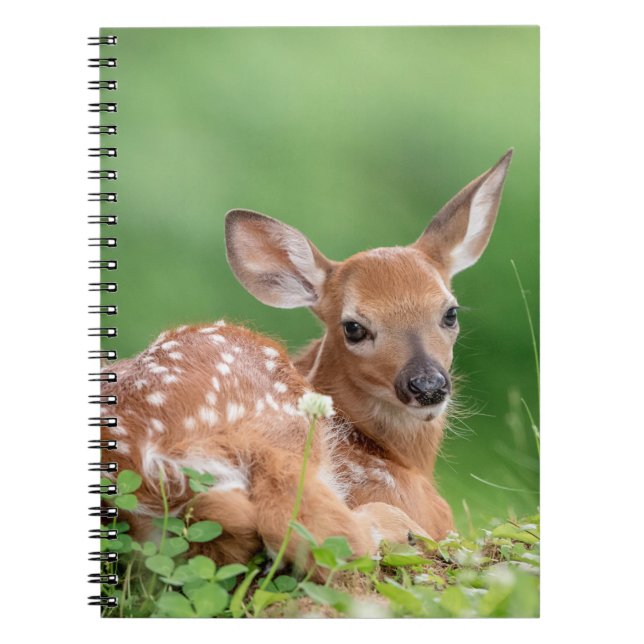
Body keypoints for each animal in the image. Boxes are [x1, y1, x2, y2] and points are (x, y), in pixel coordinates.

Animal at [101, 149, 513, 571]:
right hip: (278, 427)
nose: (427, 385)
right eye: (353, 327)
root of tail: (148, 465)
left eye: (450, 312)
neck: (398, 456)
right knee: (314, 528)